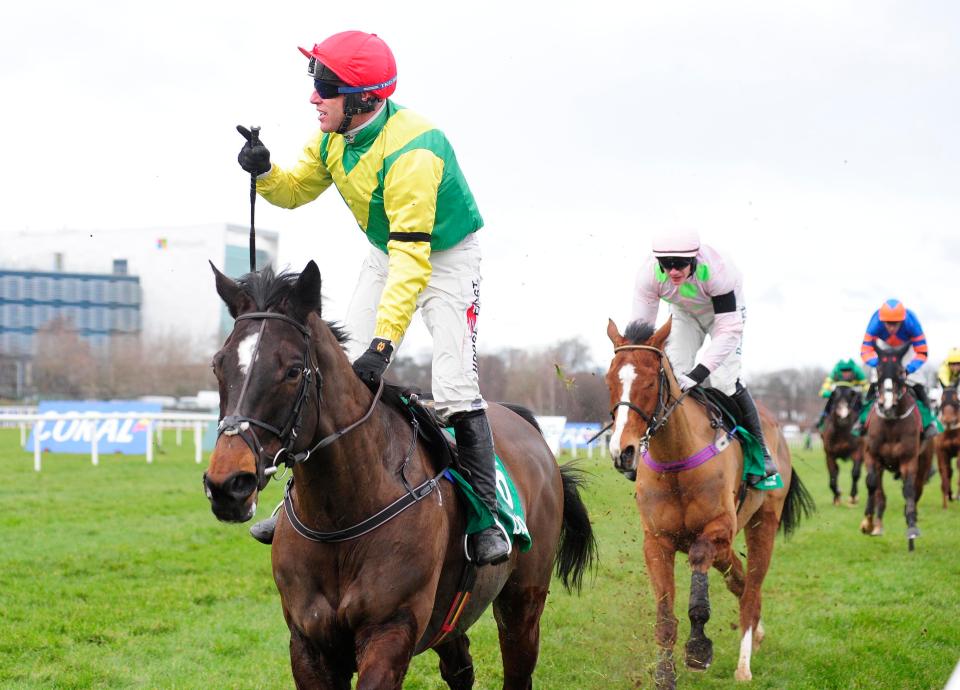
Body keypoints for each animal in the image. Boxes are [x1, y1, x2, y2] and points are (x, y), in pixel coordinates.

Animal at [201, 260, 592, 684]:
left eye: (291, 370)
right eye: (218, 365)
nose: (228, 484)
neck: (339, 519)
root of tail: (532, 432)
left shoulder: (391, 630)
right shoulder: (308, 643)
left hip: (522, 603)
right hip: (448, 620)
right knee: (460, 666)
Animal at [604, 318, 812, 688]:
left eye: (650, 380)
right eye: (609, 380)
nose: (622, 451)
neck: (675, 461)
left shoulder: (718, 529)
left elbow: (700, 576)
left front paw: (699, 647)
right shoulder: (657, 541)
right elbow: (664, 616)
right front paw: (664, 674)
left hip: (763, 522)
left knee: (751, 589)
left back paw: (744, 663)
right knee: (738, 579)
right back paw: (757, 632)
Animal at [860, 340, 932, 548]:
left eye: (901, 371)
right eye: (878, 369)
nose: (887, 405)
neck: (891, 422)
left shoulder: (909, 459)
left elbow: (908, 490)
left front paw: (912, 528)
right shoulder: (872, 455)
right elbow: (871, 483)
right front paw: (867, 523)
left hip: (923, 462)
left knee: (916, 490)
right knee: (879, 492)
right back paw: (877, 525)